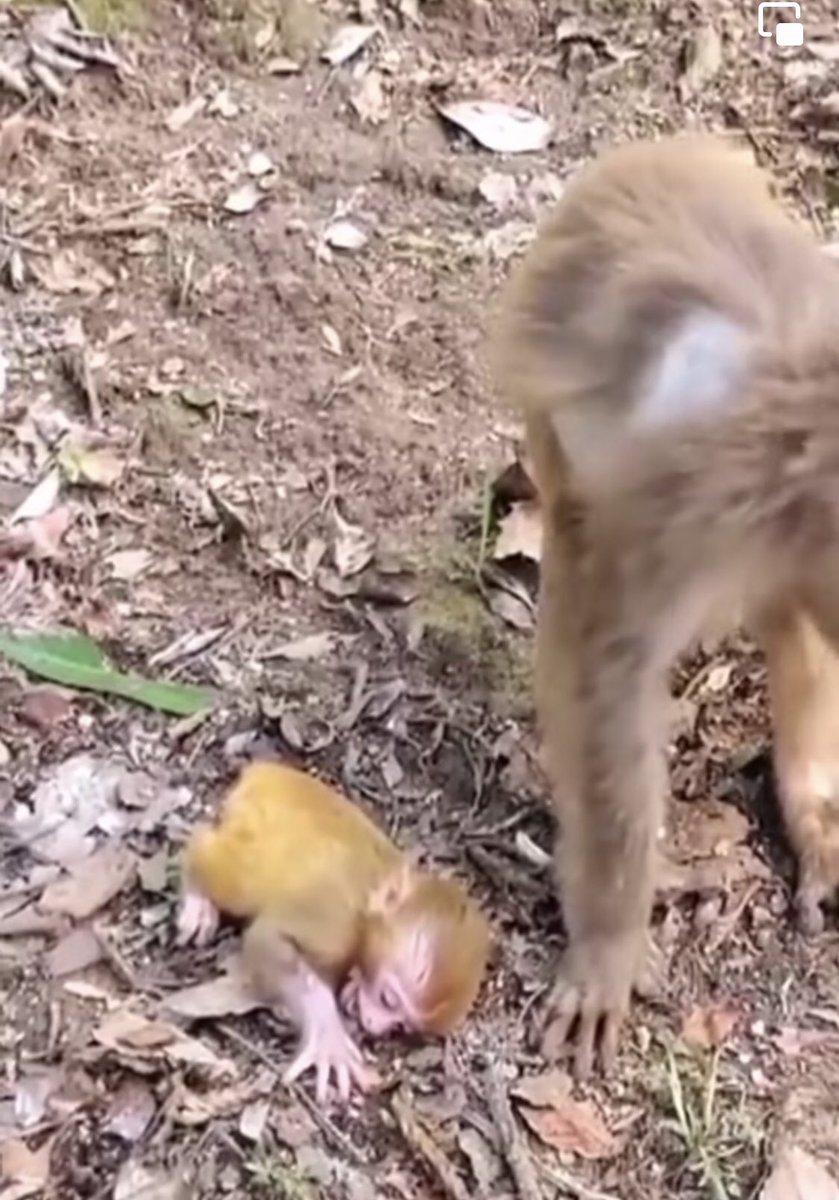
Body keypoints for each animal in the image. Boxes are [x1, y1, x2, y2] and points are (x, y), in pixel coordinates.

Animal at [176, 761, 491, 1103]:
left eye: (402, 1026)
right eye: (388, 999)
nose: (375, 1026)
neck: (372, 895)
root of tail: (266, 772)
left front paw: (352, 987)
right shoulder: (337, 923)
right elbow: (270, 940)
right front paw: (329, 1037)